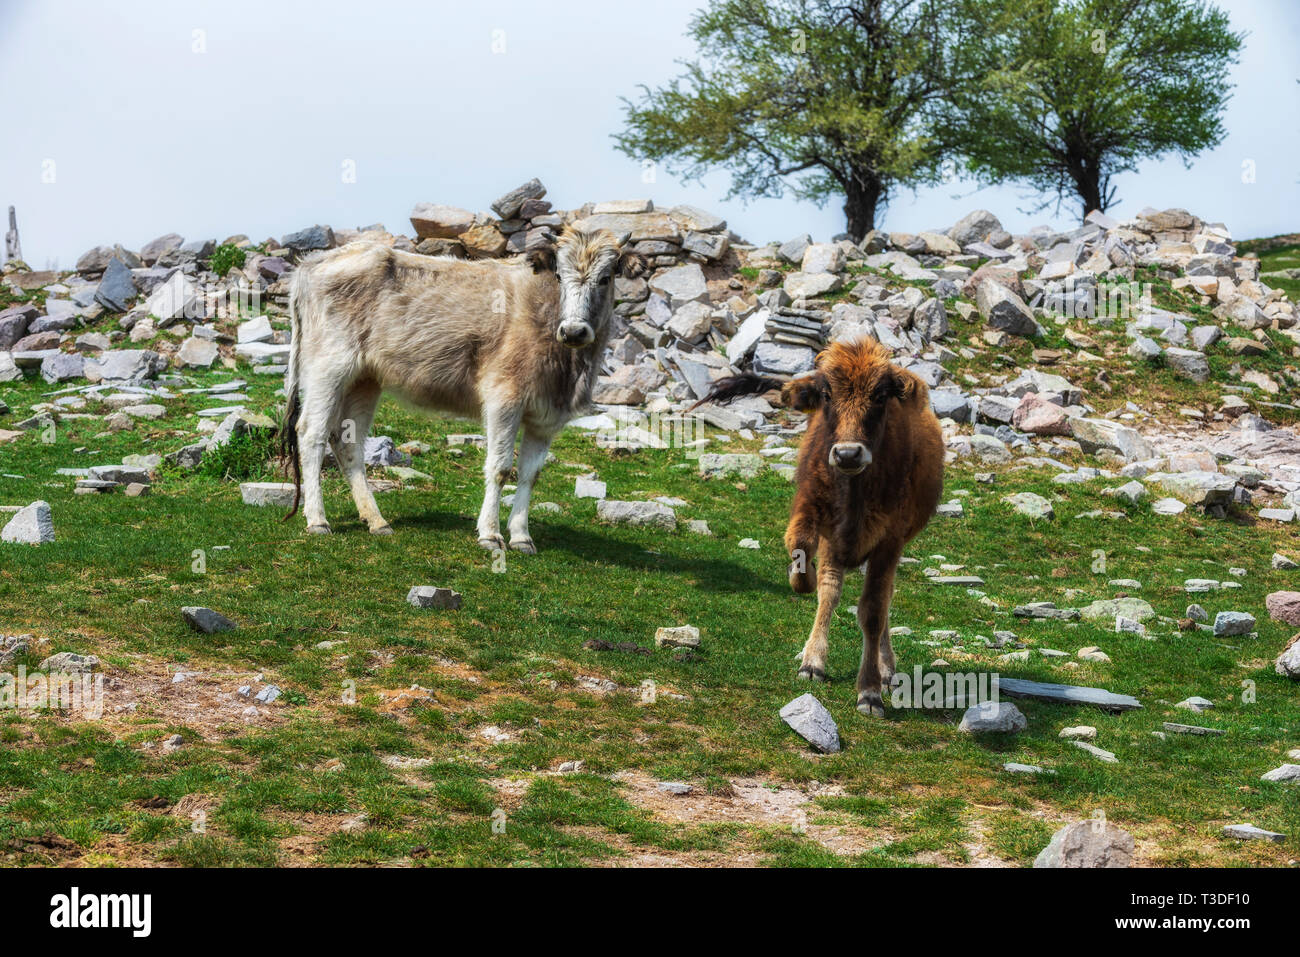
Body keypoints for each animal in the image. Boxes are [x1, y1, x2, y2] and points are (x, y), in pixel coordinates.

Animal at [279, 227, 647, 551]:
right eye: (558, 275)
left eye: (606, 277)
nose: (573, 331)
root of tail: (311, 263)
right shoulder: (504, 398)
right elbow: (500, 468)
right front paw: (490, 534)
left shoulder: (547, 417)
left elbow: (530, 475)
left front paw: (521, 536)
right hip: (328, 367)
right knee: (311, 433)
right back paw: (318, 520)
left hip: (364, 379)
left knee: (348, 441)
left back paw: (377, 521)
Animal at [694, 337, 944, 716]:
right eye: (827, 395)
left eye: (881, 395)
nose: (848, 454)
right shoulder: (813, 513)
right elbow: (803, 563)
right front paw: (802, 582)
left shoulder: (889, 542)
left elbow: (873, 611)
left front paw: (870, 691)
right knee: (831, 588)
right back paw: (813, 661)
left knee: (881, 600)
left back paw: (885, 669)